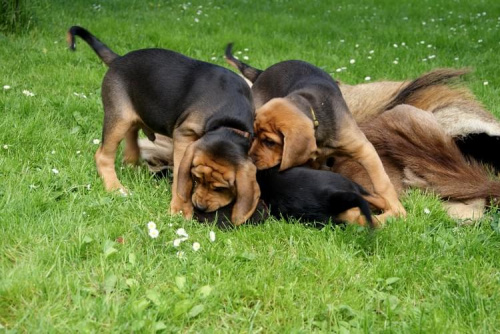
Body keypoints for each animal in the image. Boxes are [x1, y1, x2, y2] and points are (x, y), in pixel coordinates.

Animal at [66, 26, 260, 224]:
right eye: (196, 178)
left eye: (221, 188)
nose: (200, 207)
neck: (229, 122)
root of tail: (119, 59)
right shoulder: (184, 135)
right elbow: (180, 176)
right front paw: (180, 208)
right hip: (119, 118)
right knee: (103, 156)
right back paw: (115, 187)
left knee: (131, 140)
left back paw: (133, 166)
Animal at [227, 43, 406, 223]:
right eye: (255, 138)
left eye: (270, 142)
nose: (251, 160)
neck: (312, 110)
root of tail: (263, 72)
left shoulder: (364, 149)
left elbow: (382, 183)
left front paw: (396, 208)